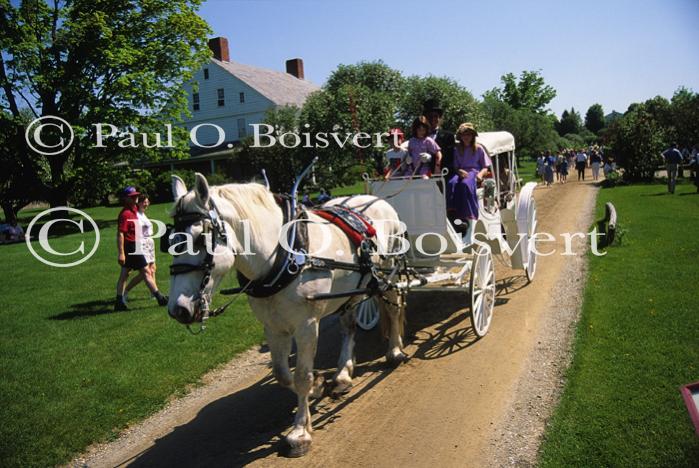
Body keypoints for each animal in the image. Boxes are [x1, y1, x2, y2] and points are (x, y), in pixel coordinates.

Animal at [168, 174, 404, 456]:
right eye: (169, 241)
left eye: (199, 238)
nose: (178, 309)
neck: (283, 257)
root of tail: (374, 198)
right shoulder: (273, 327)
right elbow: (282, 374)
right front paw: (317, 387)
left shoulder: (307, 325)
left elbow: (301, 375)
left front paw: (300, 431)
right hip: (350, 291)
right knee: (349, 327)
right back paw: (342, 374)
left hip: (389, 274)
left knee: (393, 307)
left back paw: (395, 351)